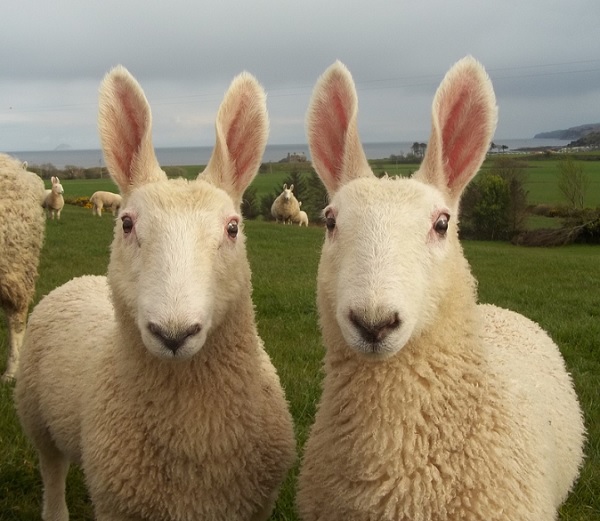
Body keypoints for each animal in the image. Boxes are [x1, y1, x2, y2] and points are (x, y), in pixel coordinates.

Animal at [14, 65, 296, 520]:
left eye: (232, 228)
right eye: (126, 224)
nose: (173, 334)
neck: (192, 432)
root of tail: (81, 279)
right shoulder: (116, 504)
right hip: (36, 416)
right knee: (52, 471)